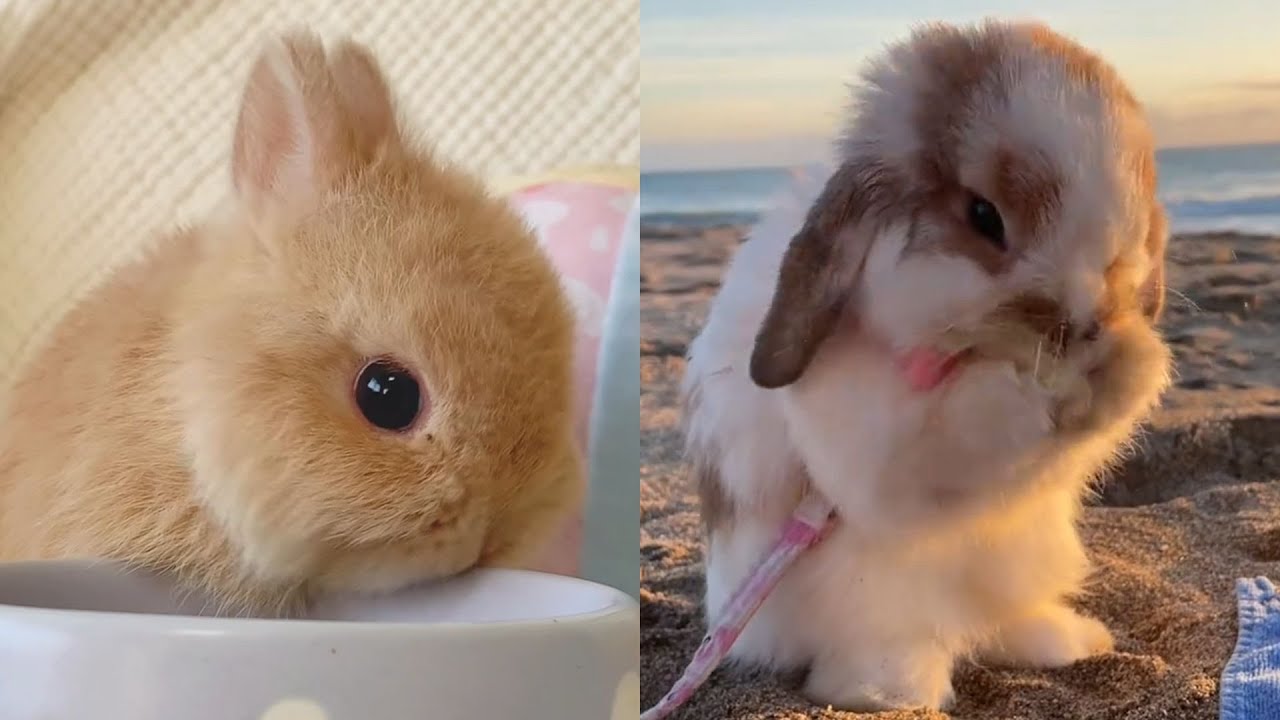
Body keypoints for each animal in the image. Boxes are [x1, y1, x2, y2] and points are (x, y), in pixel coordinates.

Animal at [682, 20, 1173, 711]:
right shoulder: (876, 449)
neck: (965, 350)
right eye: (983, 217)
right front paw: (1053, 388)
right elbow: (967, 426)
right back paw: (887, 691)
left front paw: (1131, 362)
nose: (1086, 323)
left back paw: (1065, 640)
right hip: (870, 596)